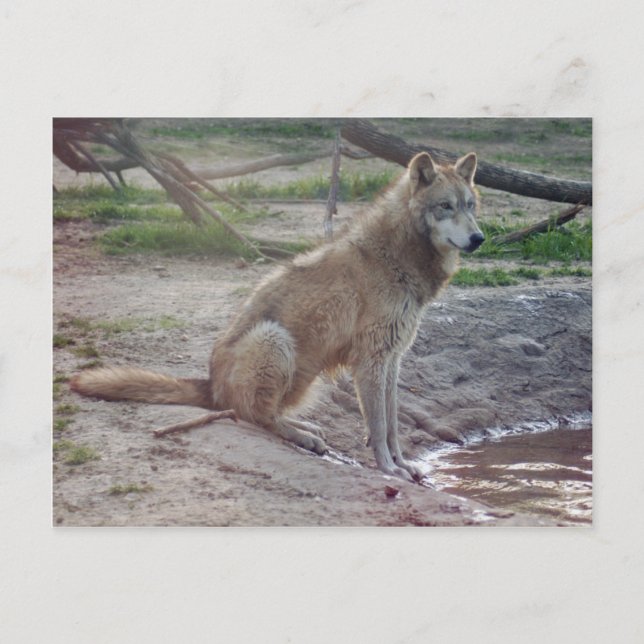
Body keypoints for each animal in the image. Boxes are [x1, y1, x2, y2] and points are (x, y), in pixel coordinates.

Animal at [71, 151, 484, 481]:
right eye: (445, 206)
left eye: (470, 205)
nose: (479, 238)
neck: (395, 257)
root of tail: (211, 385)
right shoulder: (371, 360)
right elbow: (379, 426)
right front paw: (388, 469)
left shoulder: (392, 360)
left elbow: (393, 424)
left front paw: (405, 464)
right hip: (276, 340)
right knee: (253, 415)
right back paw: (304, 436)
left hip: (307, 376)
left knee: (263, 412)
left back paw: (304, 427)